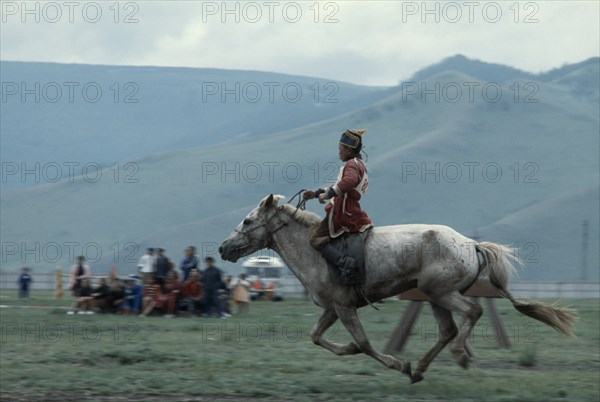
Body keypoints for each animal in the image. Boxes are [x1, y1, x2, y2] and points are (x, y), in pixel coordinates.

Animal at [219, 195, 576, 384]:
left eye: (248, 221)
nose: (223, 248)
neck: (314, 250)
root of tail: (471, 244)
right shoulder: (332, 309)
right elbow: (317, 336)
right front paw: (353, 351)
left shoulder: (344, 308)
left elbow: (363, 343)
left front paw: (395, 363)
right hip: (435, 297)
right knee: (447, 330)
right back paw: (420, 369)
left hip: (442, 293)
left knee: (471, 313)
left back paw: (456, 356)